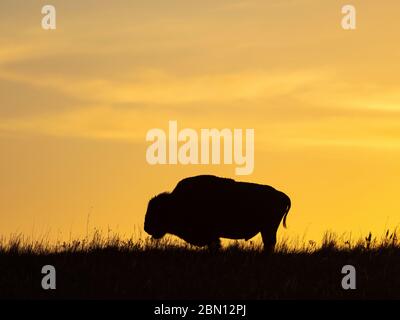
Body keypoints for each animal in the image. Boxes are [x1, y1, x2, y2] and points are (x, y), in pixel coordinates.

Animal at [144, 175, 290, 252]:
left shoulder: (211, 234)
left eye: (157, 212)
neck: (176, 202)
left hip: (268, 228)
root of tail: (282, 195)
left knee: (269, 243)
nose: (147, 227)